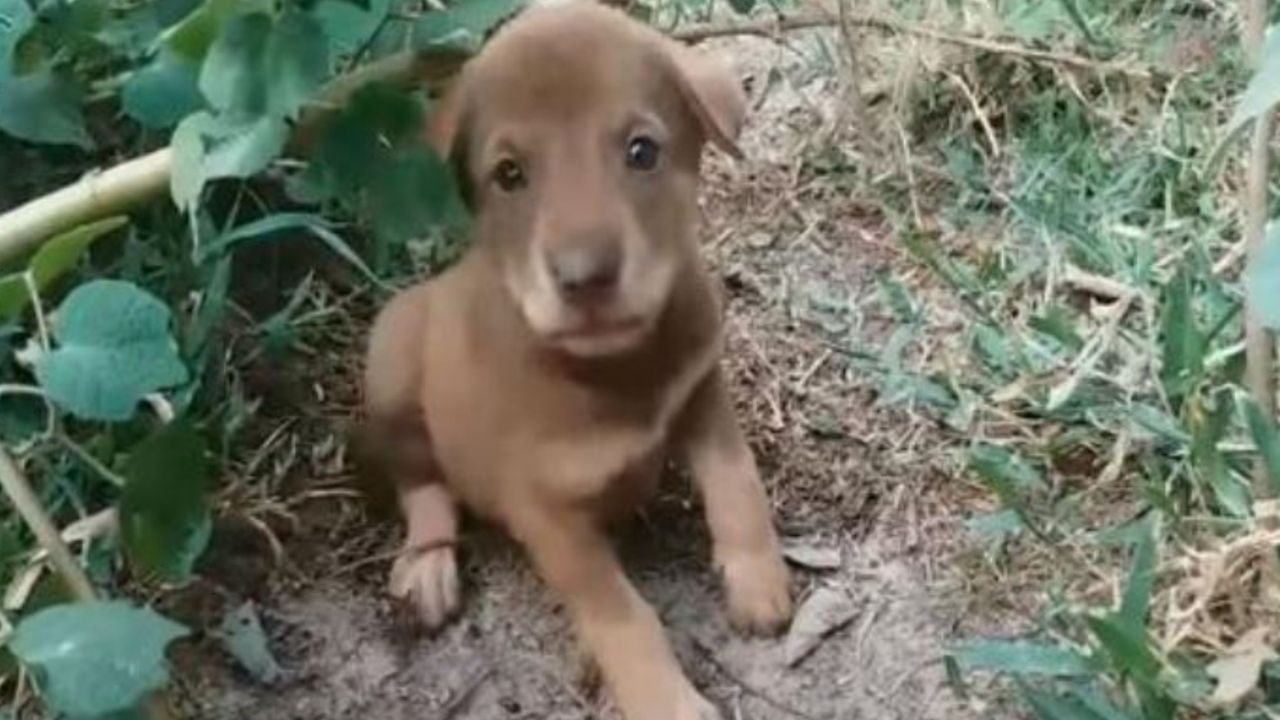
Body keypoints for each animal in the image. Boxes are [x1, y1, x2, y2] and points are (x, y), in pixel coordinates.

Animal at [363, 2, 788, 712]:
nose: (584, 276)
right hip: (391, 360)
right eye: (509, 173)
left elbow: (738, 480)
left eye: (642, 151)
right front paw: (668, 702)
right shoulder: (549, 518)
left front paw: (759, 578)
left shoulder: (701, 391)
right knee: (421, 481)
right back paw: (428, 565)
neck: (619, 367)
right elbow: (622, 616)